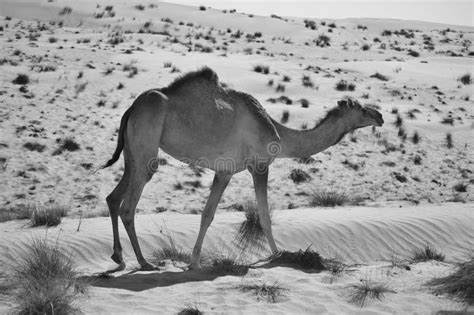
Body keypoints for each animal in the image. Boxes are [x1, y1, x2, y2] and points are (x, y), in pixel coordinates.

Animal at [102, 67, 384, 272]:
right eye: (361, 108)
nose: (380, 116)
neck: (279, 133)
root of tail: (131, 108)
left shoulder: (225, 171)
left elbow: (207, 215)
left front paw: (194, 262)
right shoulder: (259, 165)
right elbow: (264, 216)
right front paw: (277, 254)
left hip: (132, 153)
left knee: (113, 197)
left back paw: (119, 257)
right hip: (146, 146)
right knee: (128, 206)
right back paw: (143, 262)